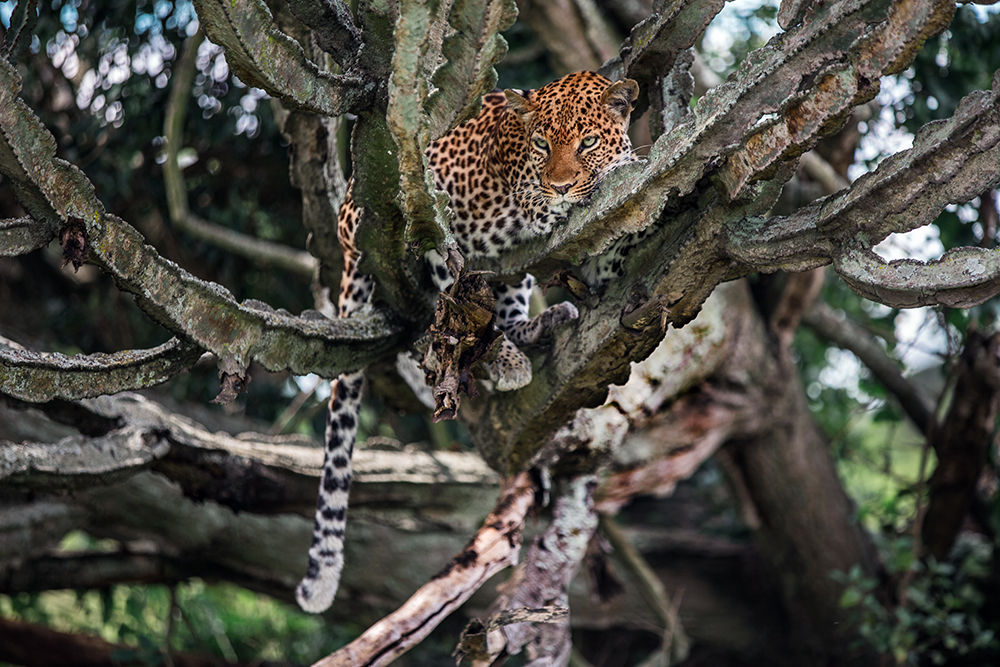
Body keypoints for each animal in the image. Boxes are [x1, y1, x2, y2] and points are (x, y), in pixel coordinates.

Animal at [296, 70, 640, 613]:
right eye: (542, 145)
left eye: (587, 142)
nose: (560, 186)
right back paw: (506, 354)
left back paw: (539, 325)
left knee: (510, 298)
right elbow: (454, 290)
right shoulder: (447, 212)